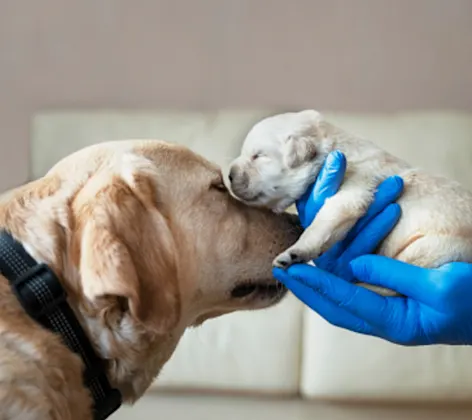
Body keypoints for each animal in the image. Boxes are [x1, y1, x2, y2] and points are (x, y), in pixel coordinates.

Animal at [229, 109, 472, 296]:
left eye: (258, 156)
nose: (230, 174)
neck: (334, 149)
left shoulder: (354, 187)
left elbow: (323, 223)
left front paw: (293, 253)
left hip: (434, 247)